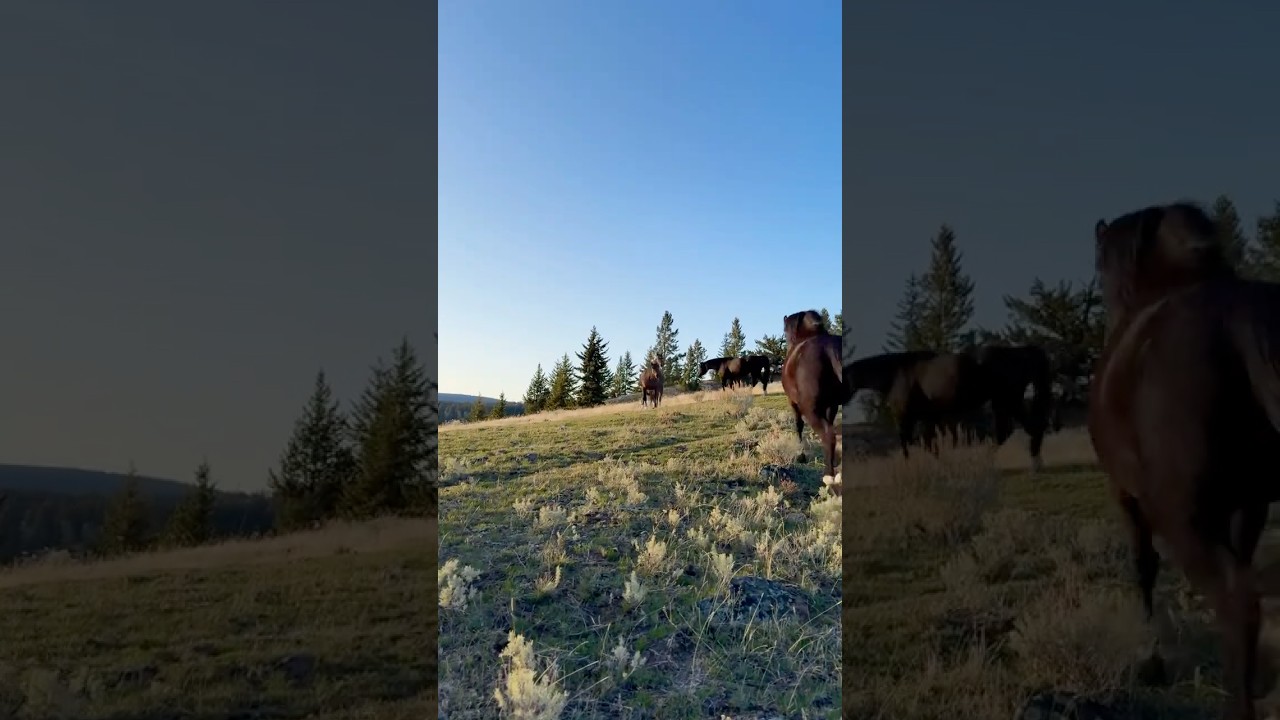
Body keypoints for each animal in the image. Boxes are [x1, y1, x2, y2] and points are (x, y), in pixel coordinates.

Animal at [781, 310, 846, 489]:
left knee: (828, 434)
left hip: (809, 409)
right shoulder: (831, 406)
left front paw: (801, 455)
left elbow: (798, 425)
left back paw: (830, 477)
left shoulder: (793, 403)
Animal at [1090, 201, 1280, 720]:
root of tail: (1237, 321)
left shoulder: (1125, 494)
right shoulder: (1248, 505)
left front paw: (1151, 660)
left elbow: (1143, 565)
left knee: (1238, 601)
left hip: (1179, 519)